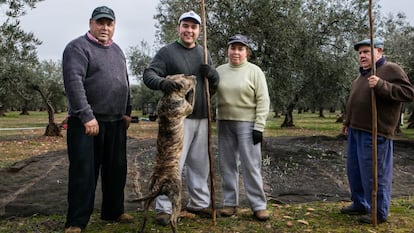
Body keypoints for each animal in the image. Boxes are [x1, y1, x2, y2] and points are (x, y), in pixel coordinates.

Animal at [137, 73, 196, 233]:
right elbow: (192, 96)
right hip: (176, 196)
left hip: (149, 196)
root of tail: (160, 181)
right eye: (185, 76)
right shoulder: (188, 107)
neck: (168, 95)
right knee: (172, 220)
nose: (194, 75)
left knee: (145, 215)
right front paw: (193, 86)